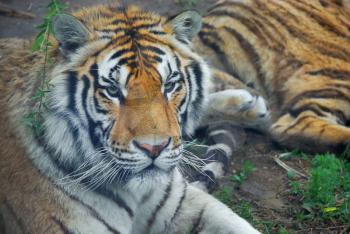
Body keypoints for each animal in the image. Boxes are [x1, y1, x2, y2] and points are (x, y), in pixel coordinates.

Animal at [0, 2, 260, 234]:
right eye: (112, 91)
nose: (154, 148)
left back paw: (251, 104)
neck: (136, 194)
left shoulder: (181, 202)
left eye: (169, 86)